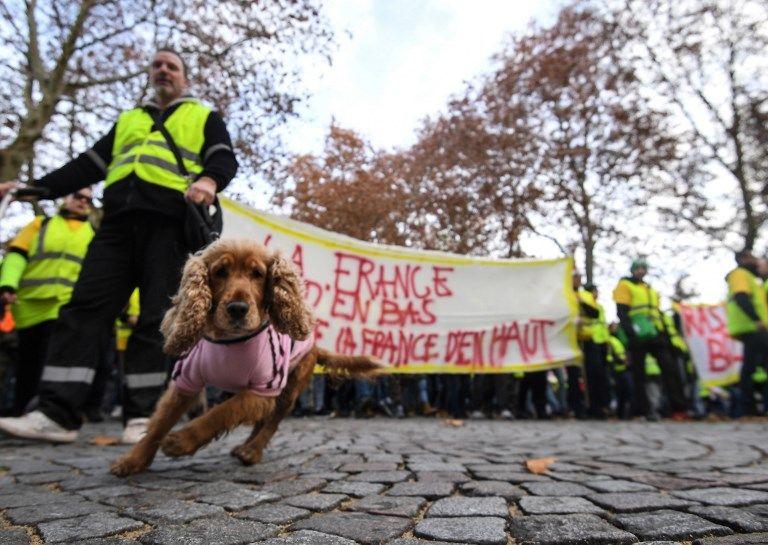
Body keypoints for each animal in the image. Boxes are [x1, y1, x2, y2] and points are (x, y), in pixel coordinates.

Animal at [110, 238, 384, 476]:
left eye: (258, 273)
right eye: (220, 271)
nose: (238, 309)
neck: (230, 341)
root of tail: (315, 345)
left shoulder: (263, 389)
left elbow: (221, 412)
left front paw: (180, 440)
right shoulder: (186, 382)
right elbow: (159, 424)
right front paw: (133, 461)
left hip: (289, 388)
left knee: (271, 422)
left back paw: (252, 451)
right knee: (261, 421)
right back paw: (244, 447)